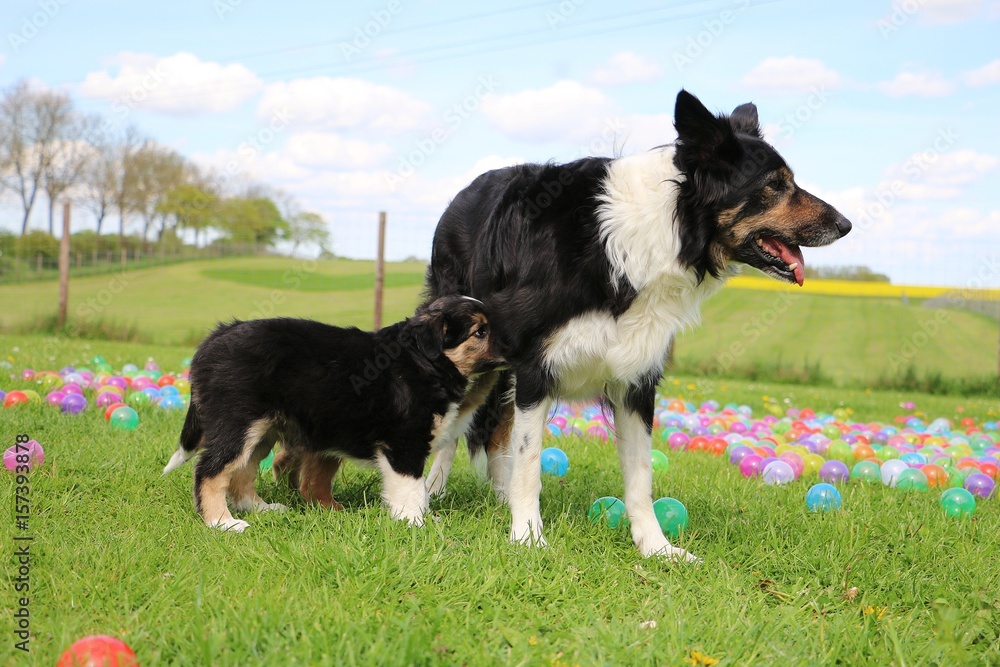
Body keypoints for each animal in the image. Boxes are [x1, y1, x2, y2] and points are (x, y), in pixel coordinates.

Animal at [162, 298, 500, 532]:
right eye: (481, 331)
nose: (513, 344)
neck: (426, 361)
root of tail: (214, 338)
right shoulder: (404, 443)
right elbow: (411, 489)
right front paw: (415, 523)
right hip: (237, 421)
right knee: (210, 470)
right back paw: (223, 522)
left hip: (263, 427)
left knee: (242, 472)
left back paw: (260, 508)